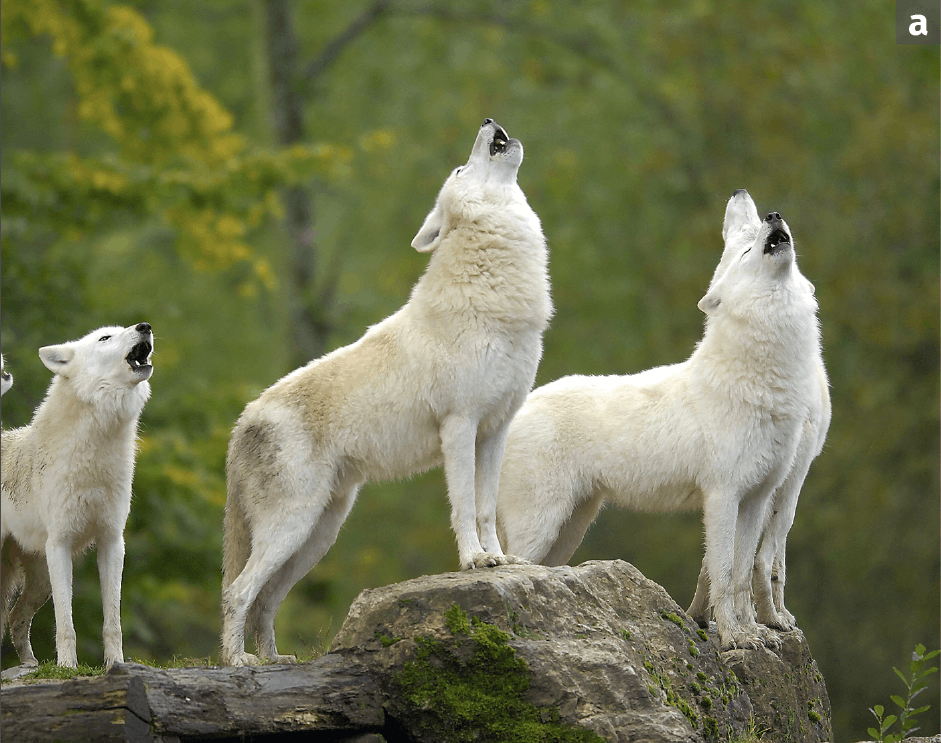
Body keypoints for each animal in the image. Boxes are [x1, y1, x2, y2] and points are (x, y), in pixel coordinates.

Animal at [0, 322, 152, 672]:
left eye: (126, 327)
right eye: (105, 338)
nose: (145, 326)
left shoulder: (112, 540)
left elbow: (113, 621)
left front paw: (115, 664)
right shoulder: (60, 543)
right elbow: (65, 622)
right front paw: (68, 668)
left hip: (39, 581)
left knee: (15, 618)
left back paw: (31, 665)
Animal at [221, 117, 556, 668]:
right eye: (460, 168)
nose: (488, 120)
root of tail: (242, 421)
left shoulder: (496, 431)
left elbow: (487, 507)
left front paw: (499, 559)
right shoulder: (460, 426)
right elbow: (464, 505)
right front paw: (474, 560)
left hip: (318, 532)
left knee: (265, 600)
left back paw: (275, 661)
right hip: (293, 526)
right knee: (237, 593)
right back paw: (239, 663)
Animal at [496, 190, 828, 652]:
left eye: (762, 234)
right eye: (746, 250)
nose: (774, 215)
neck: (763, 380)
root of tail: (518, 409)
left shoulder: (757, 499)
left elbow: (743, 573)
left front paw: (753, 634)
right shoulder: (723, 497)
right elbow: (726, 572)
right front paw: (734, 638)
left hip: (569, 530)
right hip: (542, 526)